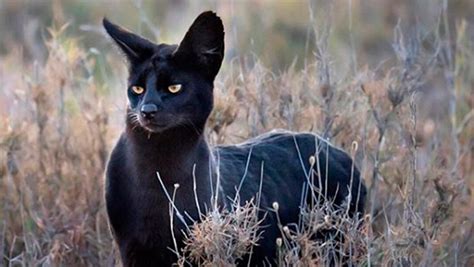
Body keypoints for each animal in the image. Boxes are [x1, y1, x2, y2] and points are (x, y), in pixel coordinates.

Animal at [103, 11, 366, 267]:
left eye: (174, 87)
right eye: (137, 89)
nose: (147, 109)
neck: (157, 166)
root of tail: (337, 151)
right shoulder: (132, 250)